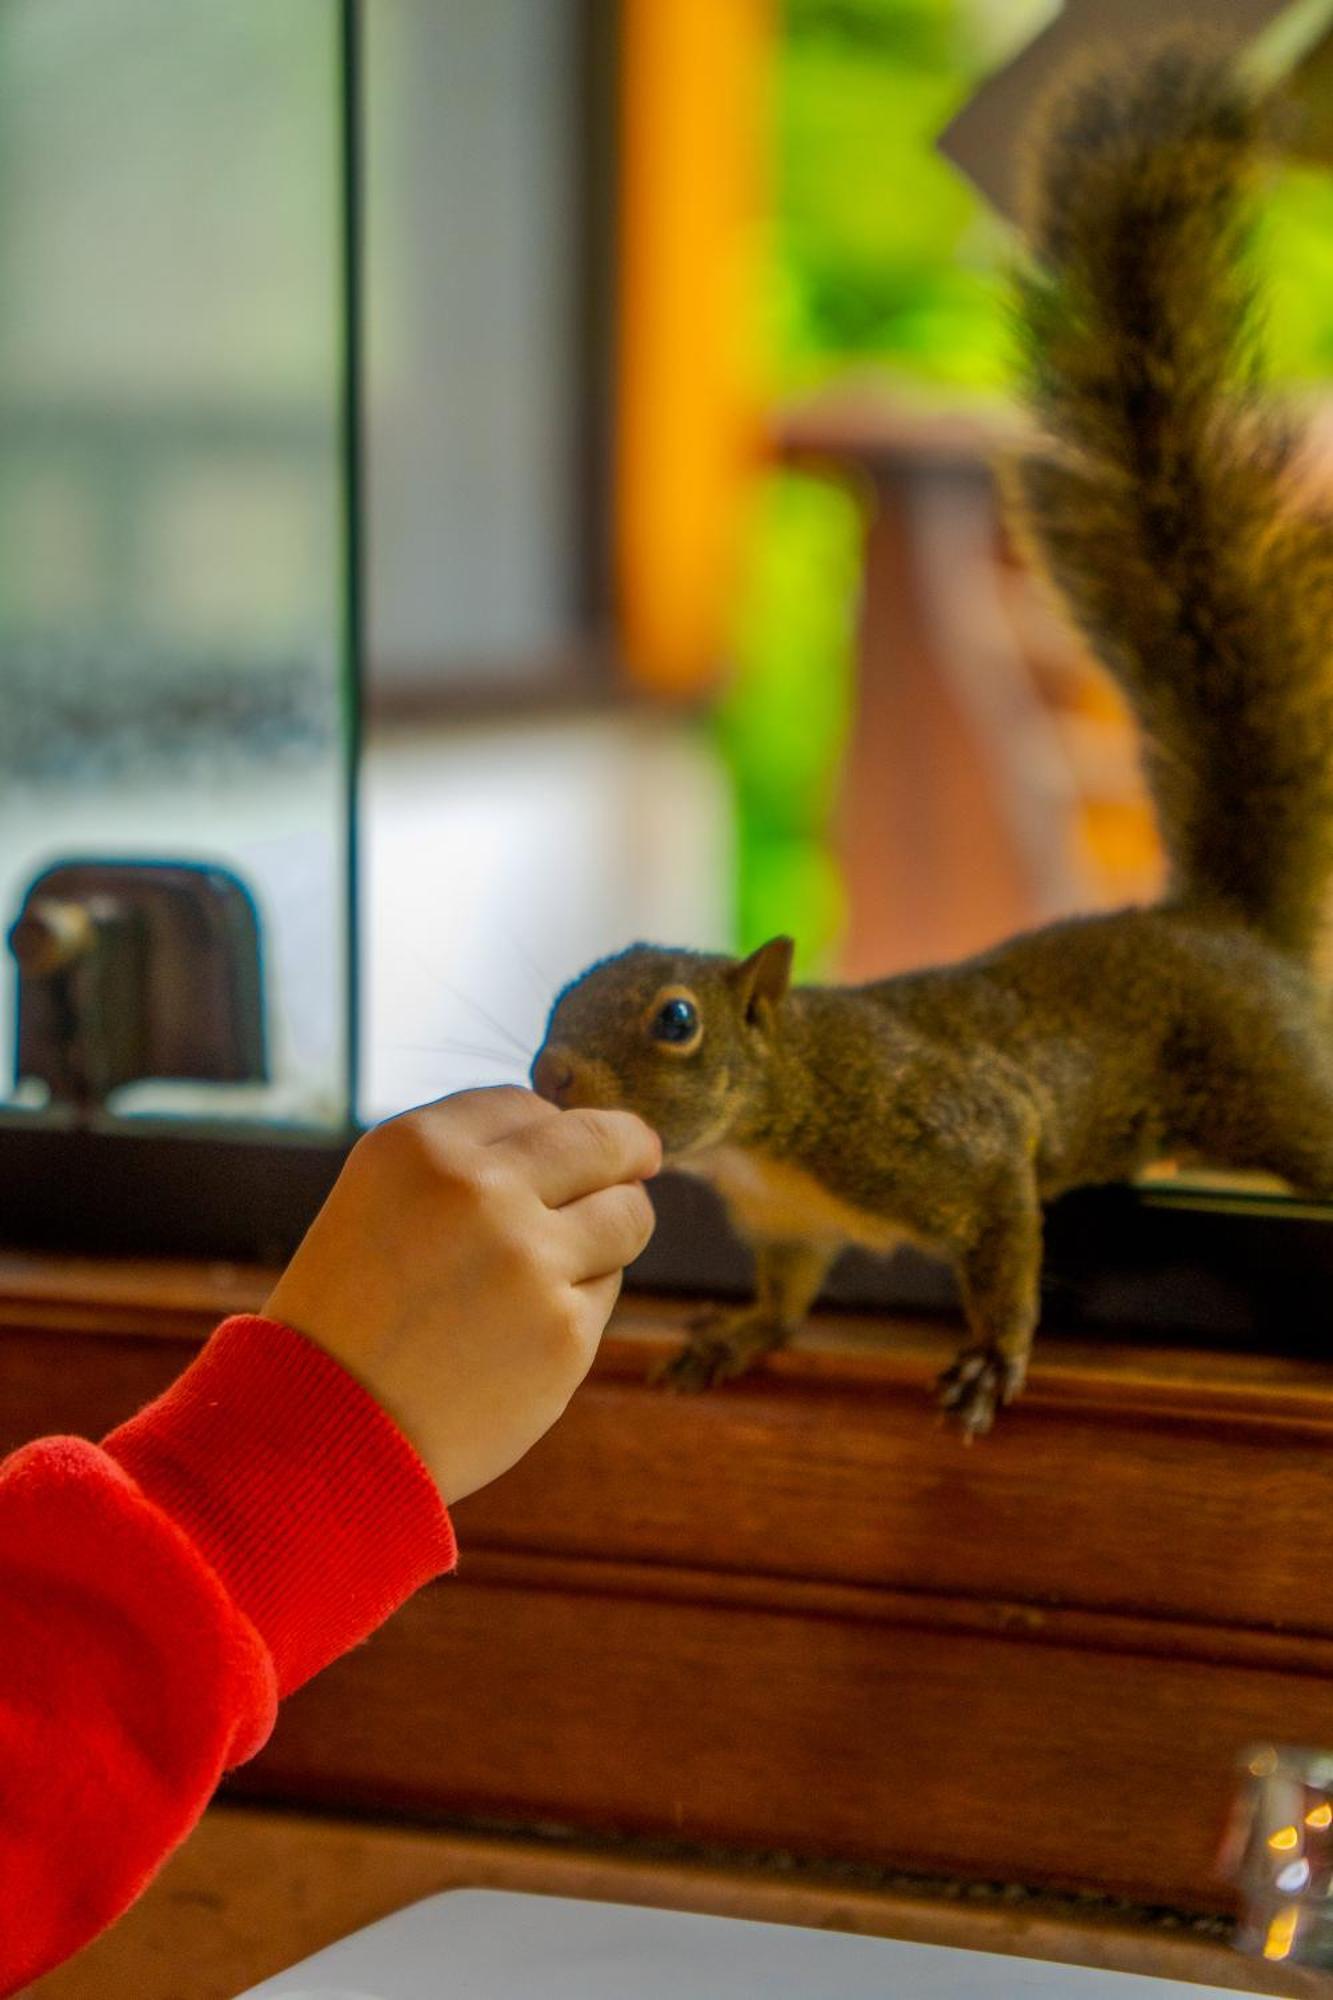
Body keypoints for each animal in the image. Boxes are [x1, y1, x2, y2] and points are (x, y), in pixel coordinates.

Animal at [528, 43, 1333, 1424]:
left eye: (675, 1022)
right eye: (559, 993)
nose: (550, 1080)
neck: (783, 1105)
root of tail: (1224, 923)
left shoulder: (953, 1133)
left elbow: (1004, 1233)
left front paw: (993, 1356)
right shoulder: (790, 1220)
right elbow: (791, 1285)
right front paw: (738, 1333)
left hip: (1268, 1077)